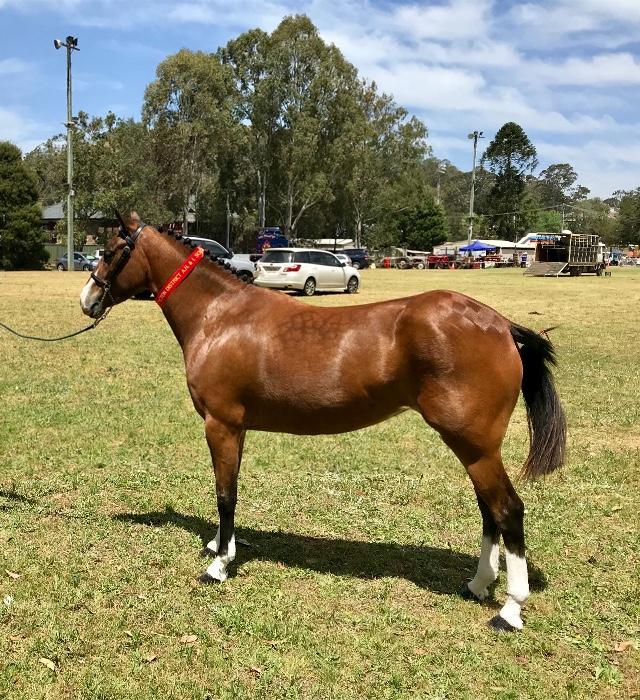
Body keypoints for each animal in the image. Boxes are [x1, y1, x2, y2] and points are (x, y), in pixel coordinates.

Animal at [80, 212, 566, 632]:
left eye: (111, 250)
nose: (87, 301)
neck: (220, 316)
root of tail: (500, 325)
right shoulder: (236, 429)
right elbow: (229, 490)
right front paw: (222, 546)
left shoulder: (221, 425)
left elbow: (224, 495)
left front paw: (218, 565)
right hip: (475, 449)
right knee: (489, 512)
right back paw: (479, 584)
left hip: (476, 446)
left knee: (508, 511)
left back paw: (510, 609)